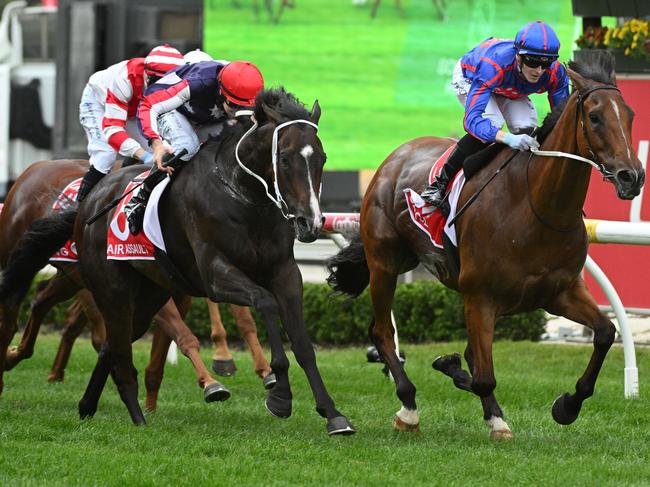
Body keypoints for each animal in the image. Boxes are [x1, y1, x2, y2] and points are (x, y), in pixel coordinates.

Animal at [326, 52, 640, 438]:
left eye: (630, 115)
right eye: (595, 117)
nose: (632, 176)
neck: (536, 206)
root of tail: (396, 156)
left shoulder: (560, 291)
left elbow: (605, 333)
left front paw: (567, 405)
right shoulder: (480, 297)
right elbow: (482, 377)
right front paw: (488, 407)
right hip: (383, 262)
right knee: (382, 331)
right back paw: (408, 408)